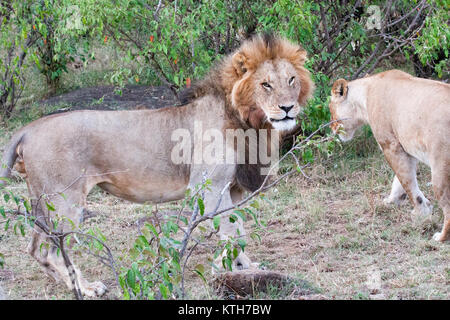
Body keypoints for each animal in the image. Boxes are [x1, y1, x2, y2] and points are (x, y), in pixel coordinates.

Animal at [0, 33, 312, 296]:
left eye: (291, 80)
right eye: (266, 84)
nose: (287, 108)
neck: (251, 123)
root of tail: (28, 129)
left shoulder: (234, 188)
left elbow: (238, 229)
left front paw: (245, 267)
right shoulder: (207, 186)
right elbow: (227, 233)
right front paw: (221, 270)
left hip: (41, 200)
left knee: (35, 248)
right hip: (65, 201)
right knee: (53, 250)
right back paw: (86, 288)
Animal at [326, 69, 450, 241]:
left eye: (331, 109)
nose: (331, 128)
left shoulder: (390, 145)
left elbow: (407, 182)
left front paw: (421, 212)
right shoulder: (406, 147)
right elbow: (400, 180)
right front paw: (392, 200)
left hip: (440, 166)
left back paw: (440, 237)